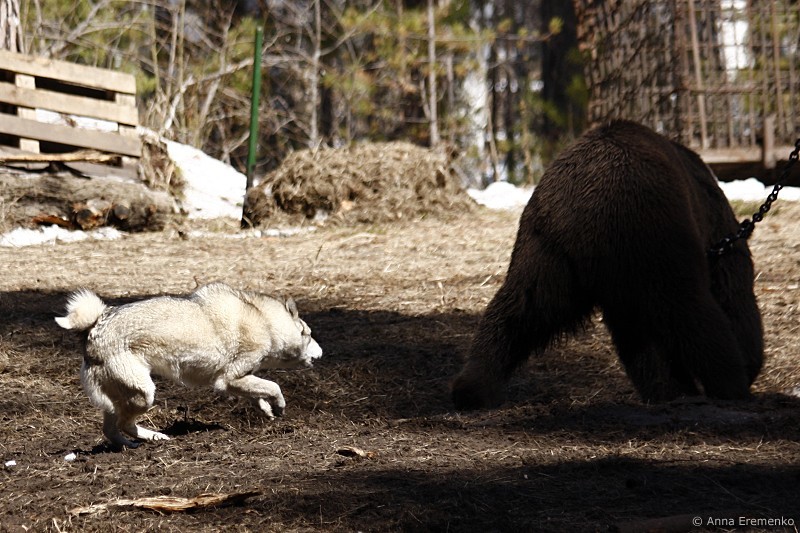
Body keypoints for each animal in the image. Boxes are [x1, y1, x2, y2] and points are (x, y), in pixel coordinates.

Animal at [56, 282, 323, 448]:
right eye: (309, 334)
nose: (322, 354)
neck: (264, 321)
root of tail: (95, 327)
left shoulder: (237, 381)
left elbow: (257, 392)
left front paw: (266, 409)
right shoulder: (228, 379)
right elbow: (274, 387)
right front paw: (279, 406)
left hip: (119, 399)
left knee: (111, 430)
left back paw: (137, 443)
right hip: (143, 394)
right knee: (124, 425)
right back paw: (153, 437)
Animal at [452, 120, 763, 409]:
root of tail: (582, 215)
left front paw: (671, 389)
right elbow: (734, 296)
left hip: (544, 251)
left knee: (519, 308)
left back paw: (472, 387)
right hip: (652, 233)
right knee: (690, 310)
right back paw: (729, 384)